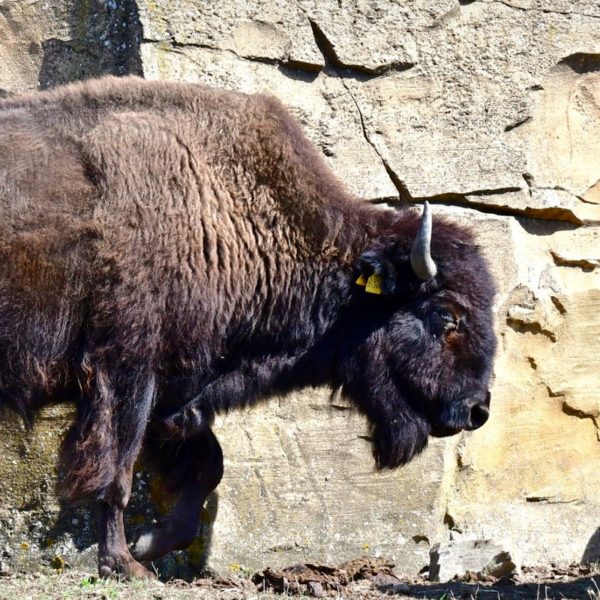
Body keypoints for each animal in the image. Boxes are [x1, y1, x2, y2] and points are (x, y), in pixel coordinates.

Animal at [0, 75, 496, 576]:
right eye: (447, 315)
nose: (477, 410)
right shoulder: (126, 373)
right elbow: (116, 472)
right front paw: (124, 564)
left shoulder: (176, 393)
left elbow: (208, 466)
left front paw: (149, 543)